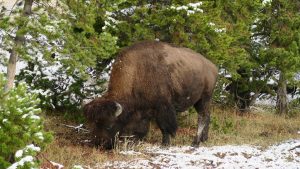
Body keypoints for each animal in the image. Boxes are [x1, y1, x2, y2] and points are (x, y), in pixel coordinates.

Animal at [84, 40, 218, 149]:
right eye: (92, 123)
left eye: (109, 125)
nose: (99, 143)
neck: (137, 71)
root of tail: (213, 66)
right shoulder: (145, 109)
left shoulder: (163, 107)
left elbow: (164, 126)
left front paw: (165, 144)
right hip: (200, 101)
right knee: (207, 116)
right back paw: (204, 139)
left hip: (204, 98)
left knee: (202, 117)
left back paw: (195, 142)